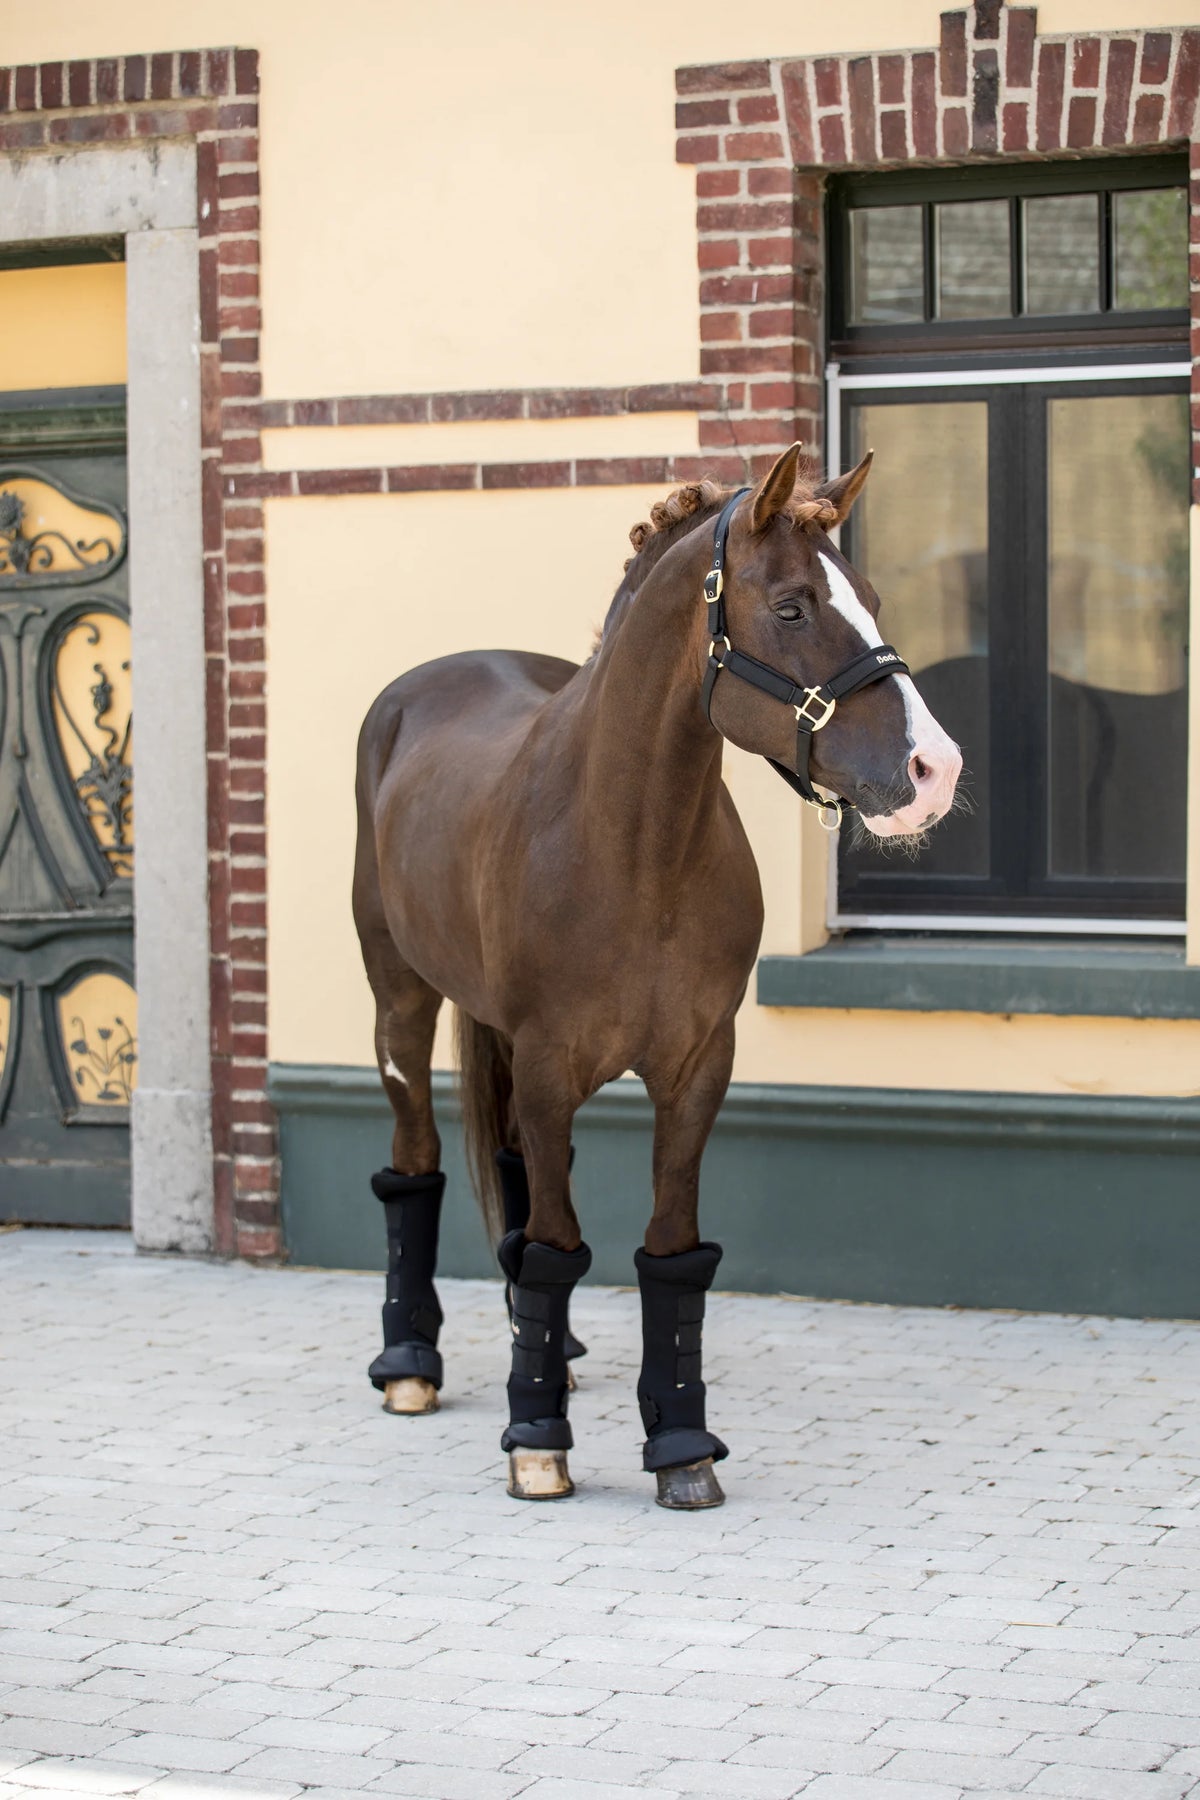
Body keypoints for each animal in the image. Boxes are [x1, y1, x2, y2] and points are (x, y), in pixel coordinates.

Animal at [352, 441, 962, 1509]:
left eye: (875, 598)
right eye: (792, 606)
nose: (935, 772)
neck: (635, 849)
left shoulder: (695, 1066)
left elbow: (670, 1254)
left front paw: (680, 1444)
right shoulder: (550, 1064)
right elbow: (557, 1247)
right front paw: (536, 1442)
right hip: (401, 1002)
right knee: (415, 1161)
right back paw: (411, 1366)